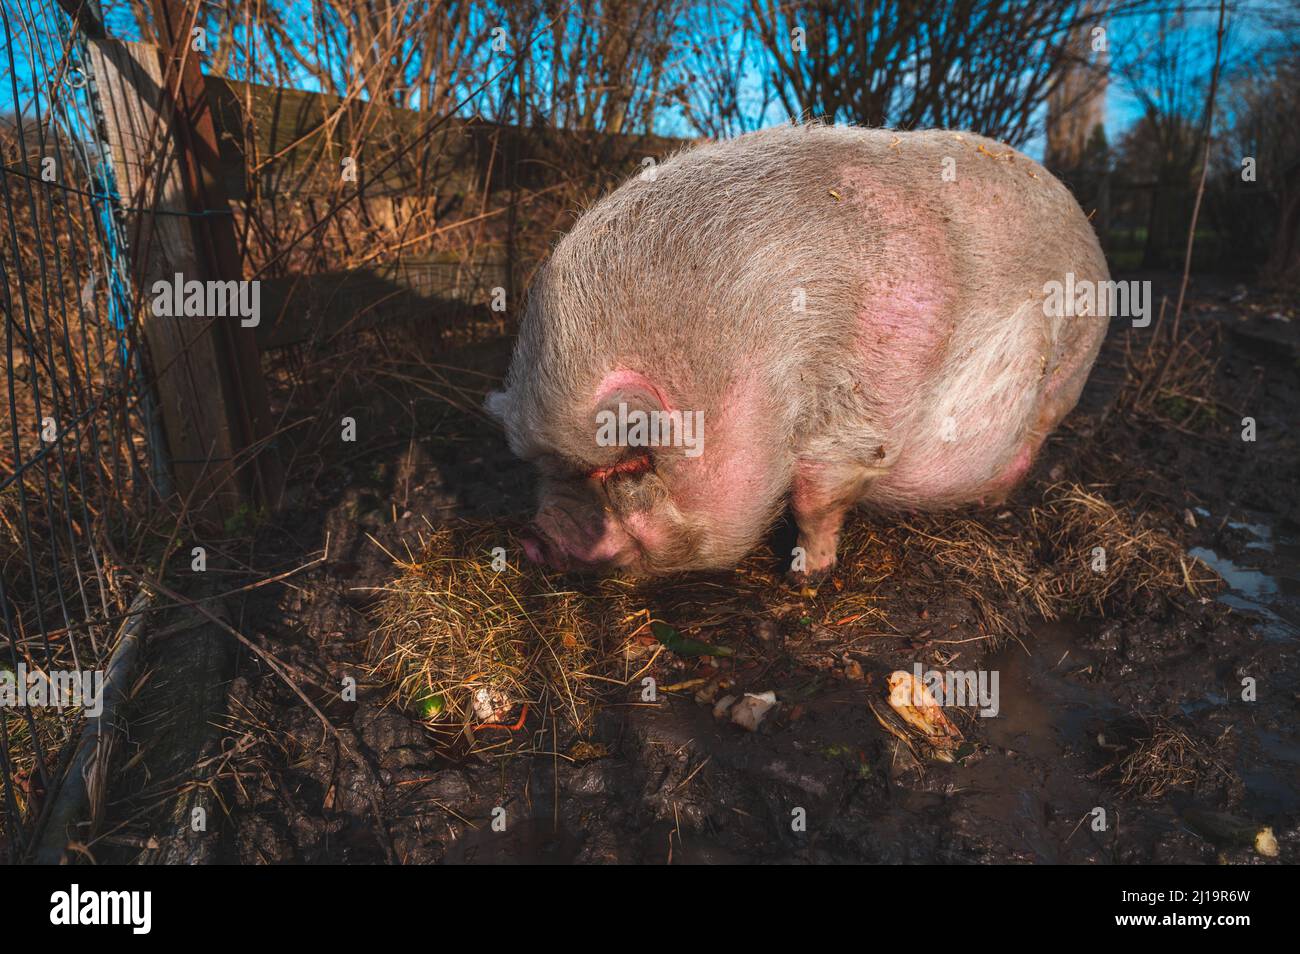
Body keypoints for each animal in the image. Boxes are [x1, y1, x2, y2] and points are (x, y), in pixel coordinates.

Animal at [486, 123, 1109, 577]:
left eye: (630, 462)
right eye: (538, 465)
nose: (536, 537)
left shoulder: (860, 414)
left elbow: (820, 496)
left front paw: (805, 576)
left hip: (1067, 368)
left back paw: (994, 501)